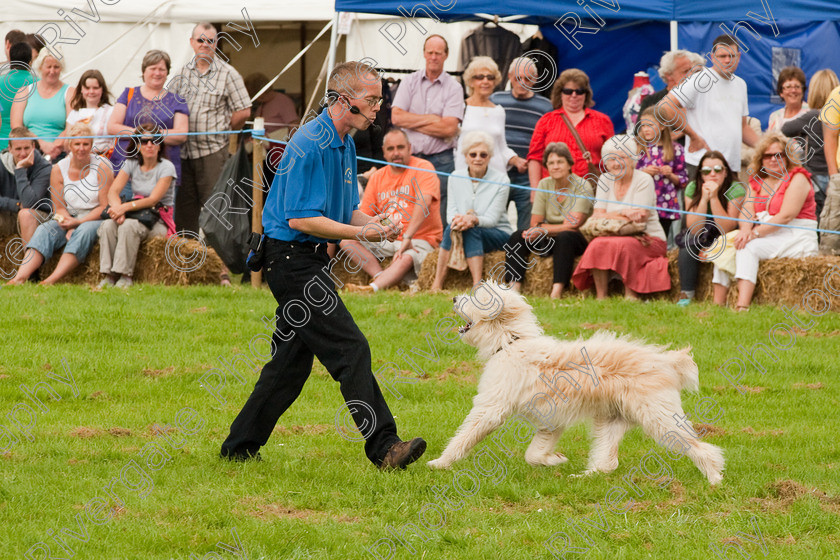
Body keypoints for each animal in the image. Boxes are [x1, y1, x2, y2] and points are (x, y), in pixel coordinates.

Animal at [430, 282, 724, 484]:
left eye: (476, 298)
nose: (454, 297)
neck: (511, 342)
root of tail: (666, 361)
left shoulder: (492, 408)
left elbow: (465, 437)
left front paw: (440, 462)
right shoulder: (551, 421)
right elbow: (533, 454)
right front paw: (554, 460)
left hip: (659, 417)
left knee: (700, 447)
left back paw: (714, 479)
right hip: (611, 420)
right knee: (607, 462)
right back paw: (584, 477)